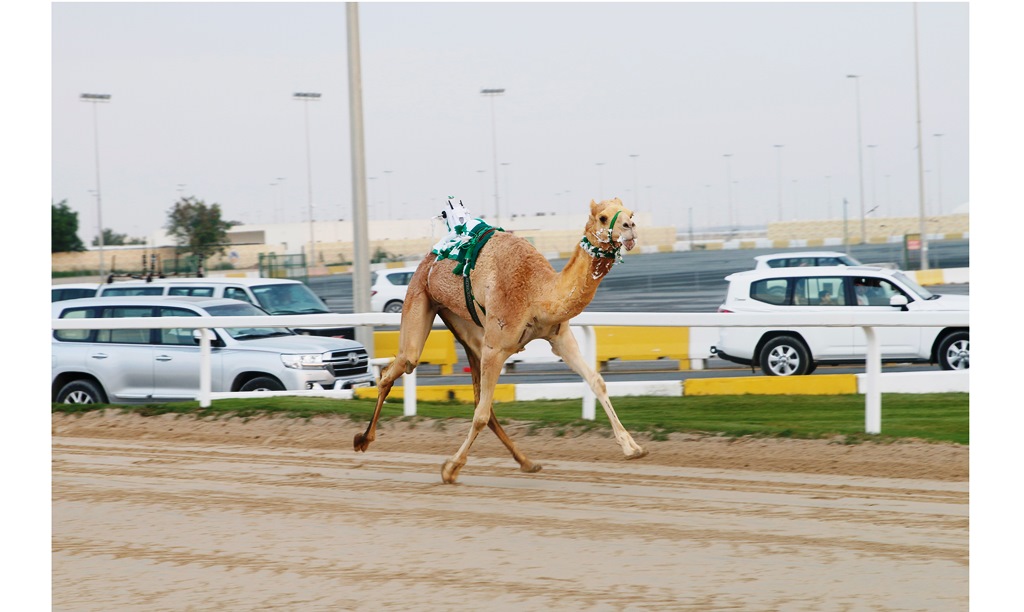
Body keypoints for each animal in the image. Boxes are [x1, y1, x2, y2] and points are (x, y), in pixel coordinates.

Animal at [356, 197, 647, 485]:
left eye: (631, 213)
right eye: (602, 217)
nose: (630, 227)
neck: (538, 292)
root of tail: (429, 258)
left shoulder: (559, 337)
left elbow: (597, 381)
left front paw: (632, 447)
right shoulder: (496, 347)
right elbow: (480, 415)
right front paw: (450, 468)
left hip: (464, 324)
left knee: (477, 397)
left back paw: (527, 462)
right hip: (420, 298)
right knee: (399, 366)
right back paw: (362, 439)